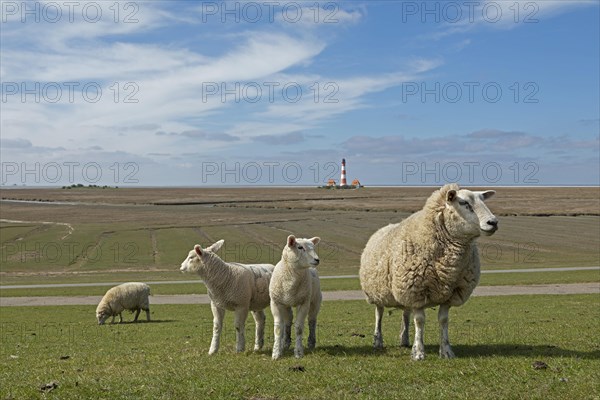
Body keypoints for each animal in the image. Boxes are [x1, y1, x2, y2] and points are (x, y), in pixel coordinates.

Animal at [360, 184, 496, 360]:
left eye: (483, 200)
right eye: (464, 203)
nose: (493, 222)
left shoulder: (449, 294)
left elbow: (443, 320)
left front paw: (446, 351)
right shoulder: (416, 290)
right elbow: (419, 321)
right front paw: (419, 353)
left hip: (402, 288)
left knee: (405, 314)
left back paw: (404, 340)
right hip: (378, 291)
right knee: (379, 314)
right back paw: (378, 341)